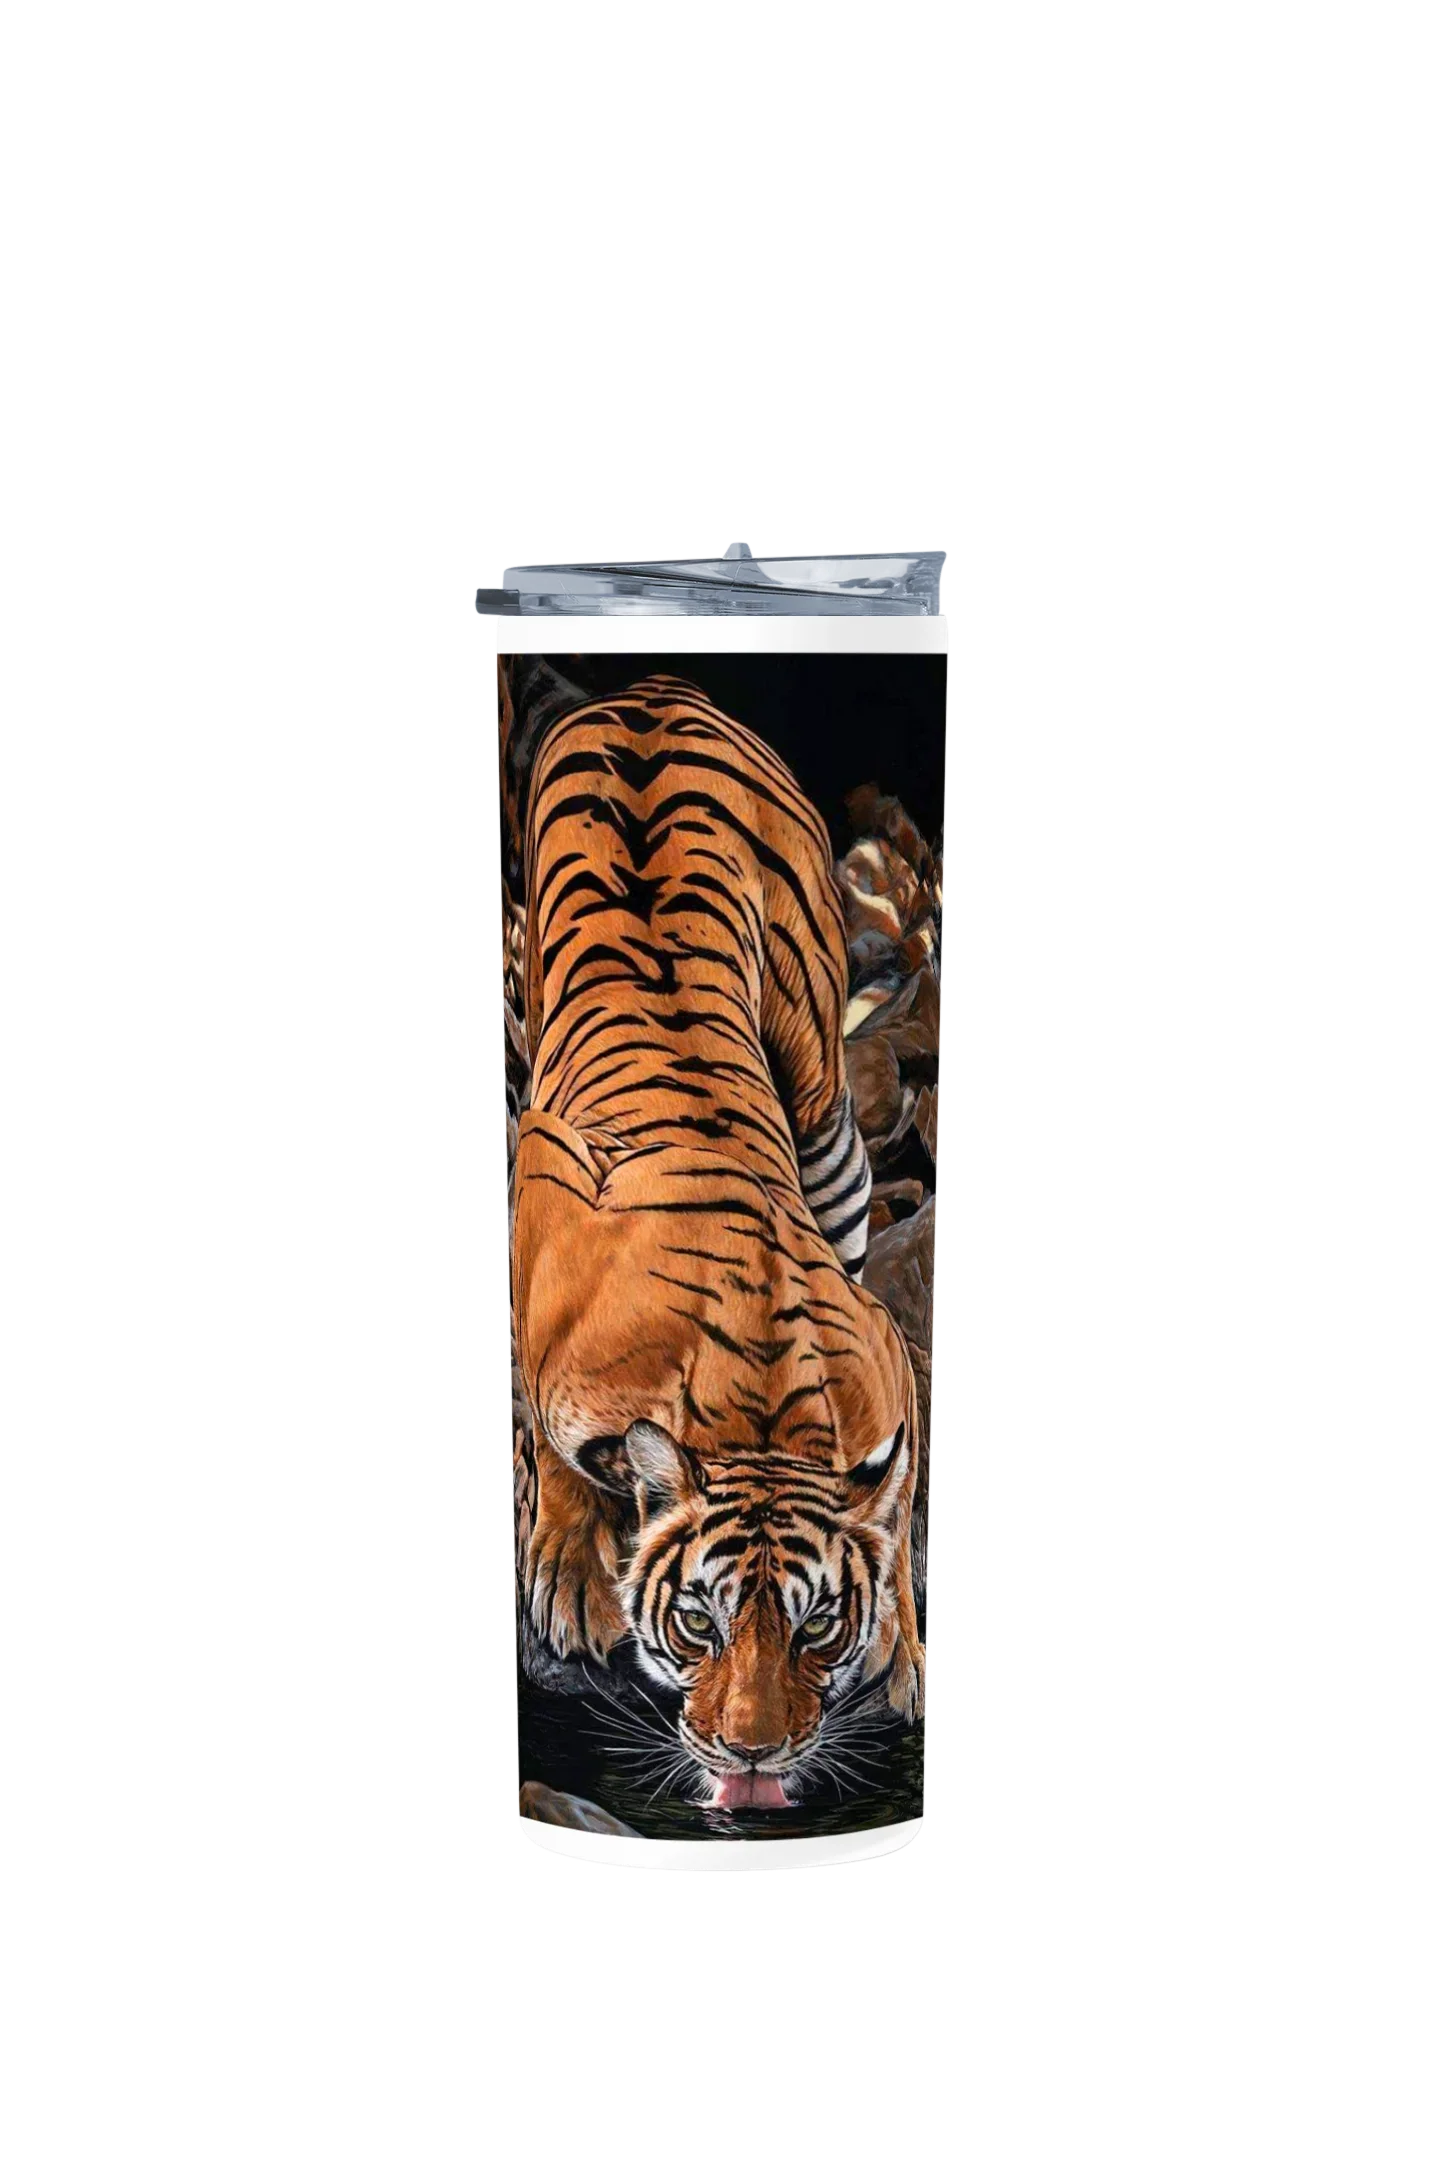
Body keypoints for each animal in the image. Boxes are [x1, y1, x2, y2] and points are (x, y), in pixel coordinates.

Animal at [509, 671, 926, 1807]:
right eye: (699, 1623)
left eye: (819, 1627)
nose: (755, 1754)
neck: (760, 1418)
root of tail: (655, 688)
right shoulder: (543, 1199)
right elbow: (552, 1443)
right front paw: (569, 1570)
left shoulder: (888, 1362)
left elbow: (892, 1504)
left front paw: (905, 1650)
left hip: (822, 1095)